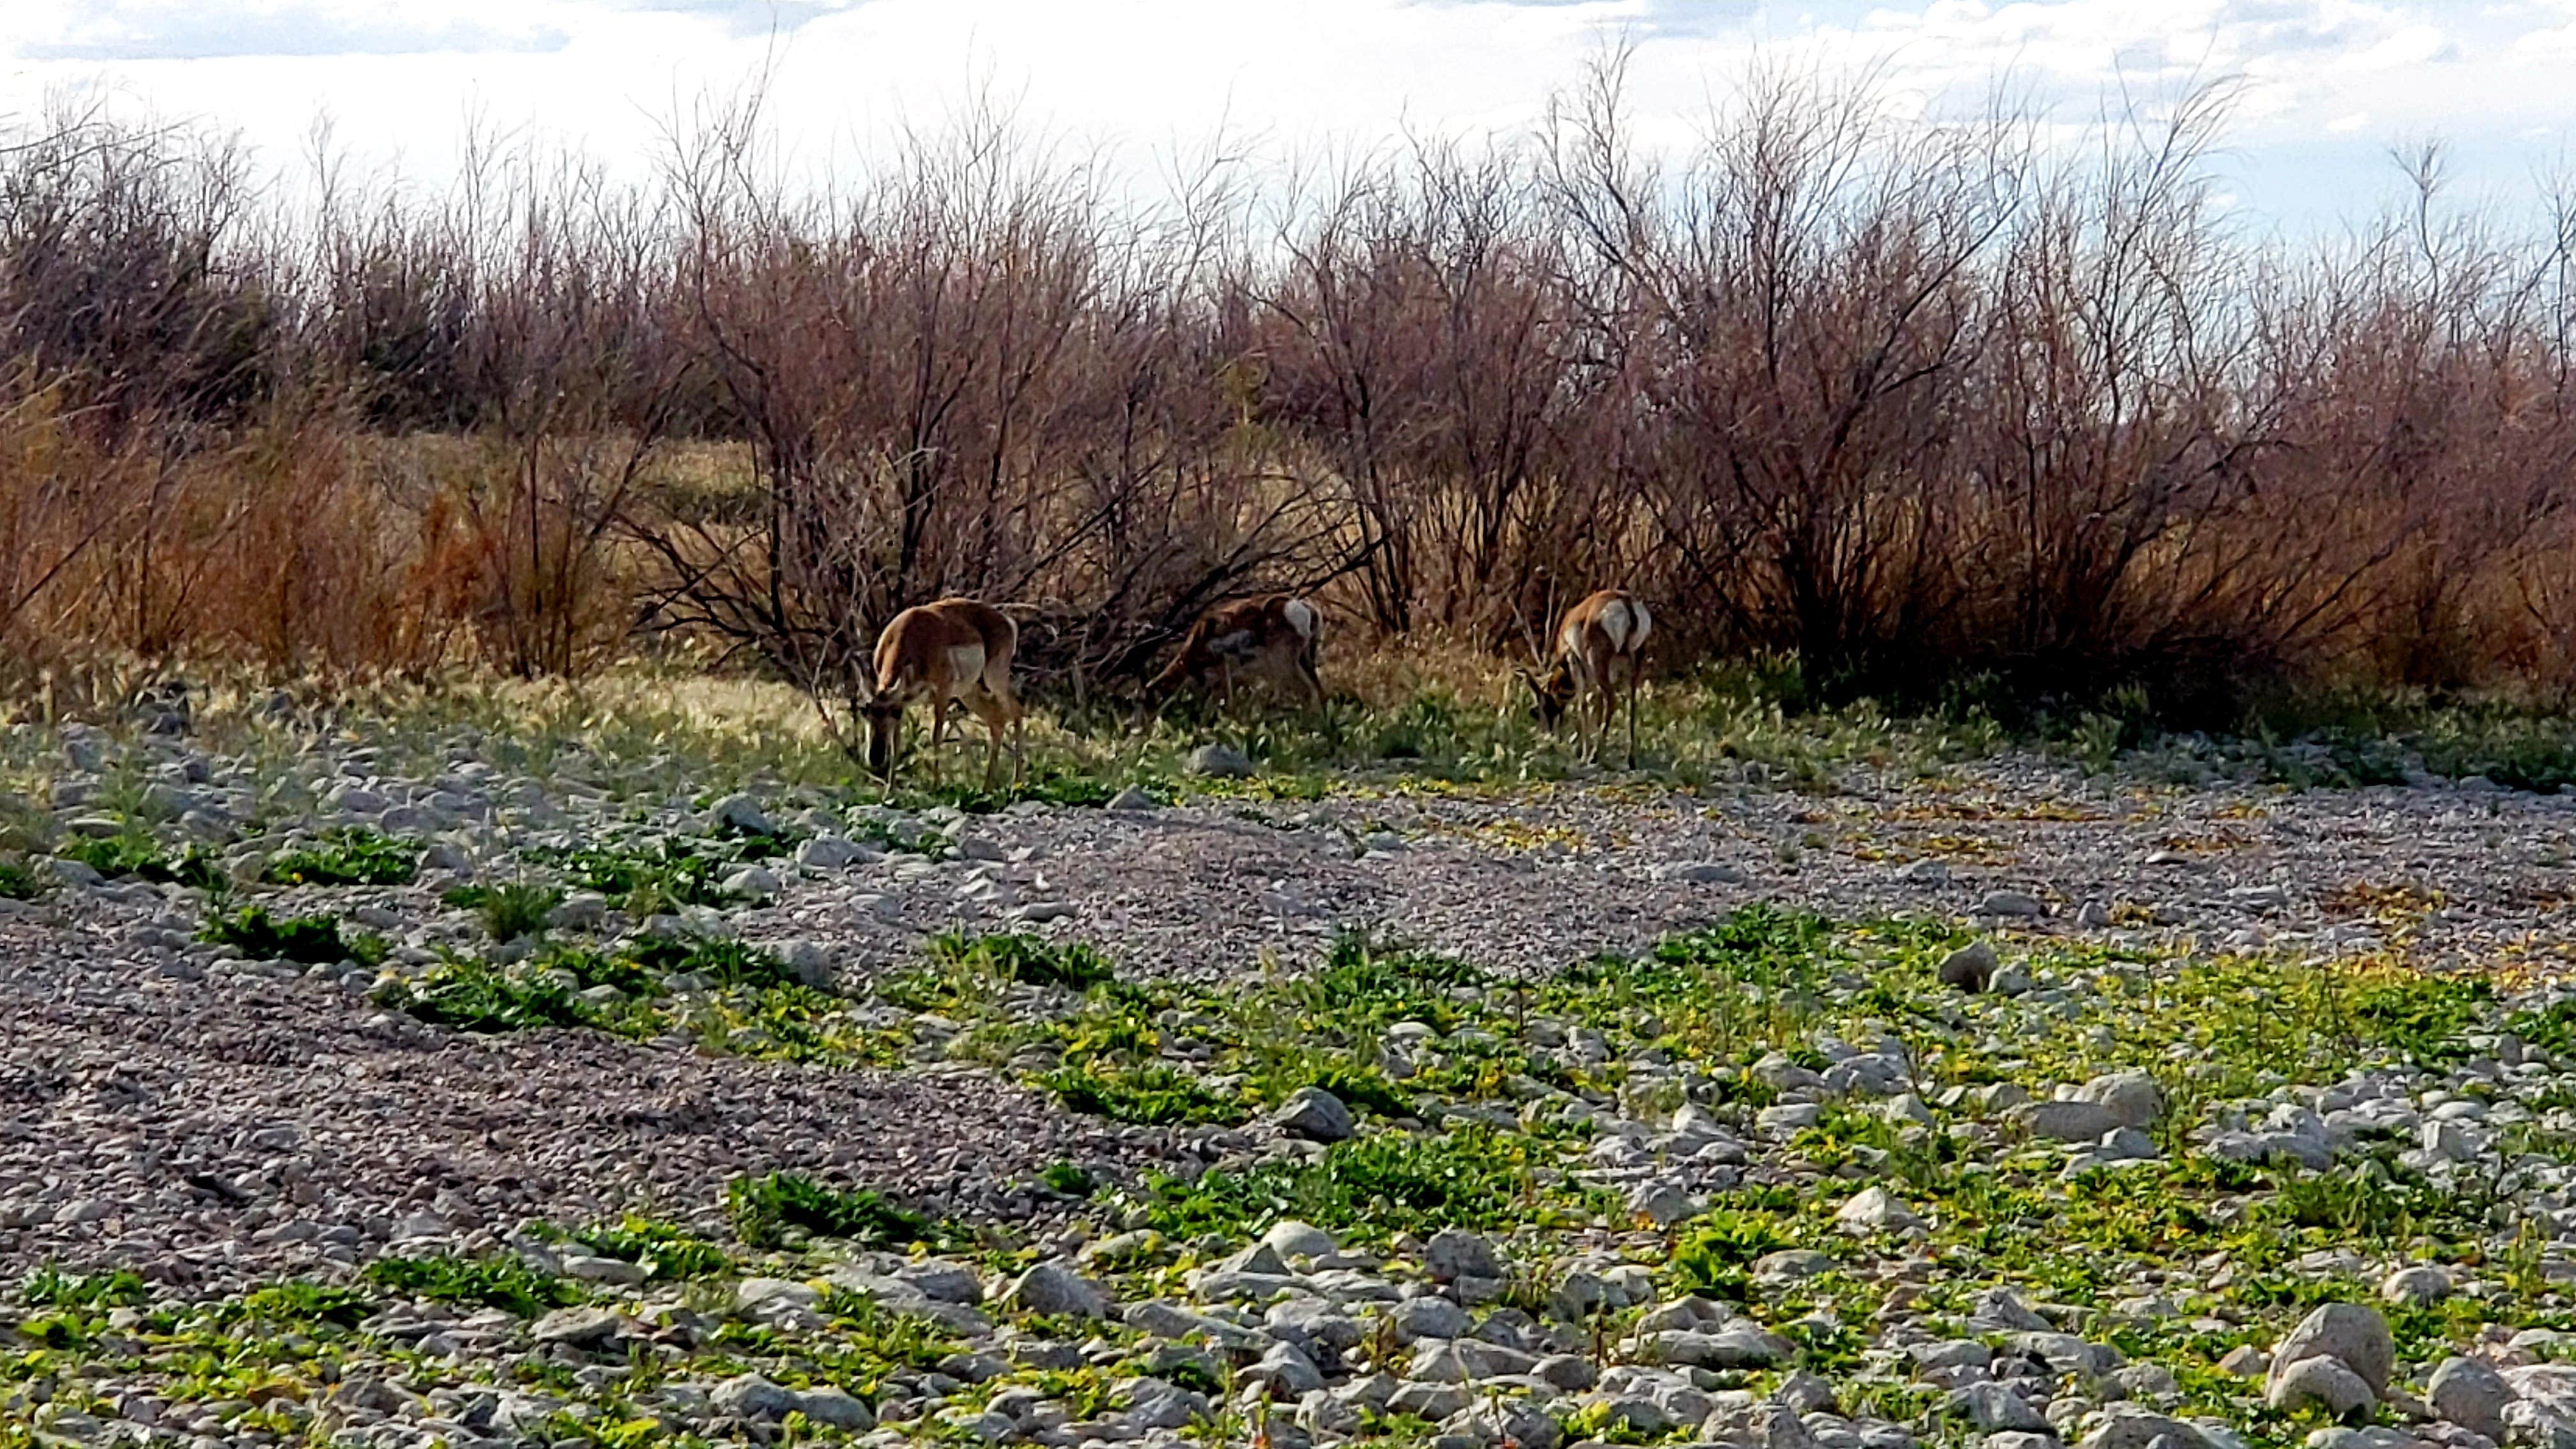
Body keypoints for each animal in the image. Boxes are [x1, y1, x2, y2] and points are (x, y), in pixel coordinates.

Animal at [865, 593, 1025, 783]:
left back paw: (1017, 782)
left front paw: (935, 785)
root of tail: (1006, 620)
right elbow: (896, 744)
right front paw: (890, 789)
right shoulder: (902, 701)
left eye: (893, 714)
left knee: (1017, 711)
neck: (909, 634)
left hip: (994, 679)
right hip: (969, 692)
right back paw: (988, 786)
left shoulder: (942, 693)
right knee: (998, 722)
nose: (875, 757)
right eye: (865, 711)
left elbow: (936, 737)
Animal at [1149, 590, 1329, 711]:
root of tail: (1305, 608)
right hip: (1304, 659)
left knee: (1306, 692)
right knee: (1319, 691)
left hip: (1284, 661)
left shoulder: (1224, 670)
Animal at [1524, 588, 1648, 768]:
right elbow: (1596, 705)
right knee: (1631, 704)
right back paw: (1630, 759)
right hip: (1634, 664)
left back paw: (1593, 756)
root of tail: (1625, 602)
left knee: (1612, 700)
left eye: (1541, 708)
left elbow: (1582, 706)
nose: (1547, 735)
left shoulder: (1574, 661)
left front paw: (1583, 755)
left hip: (1597, 662)